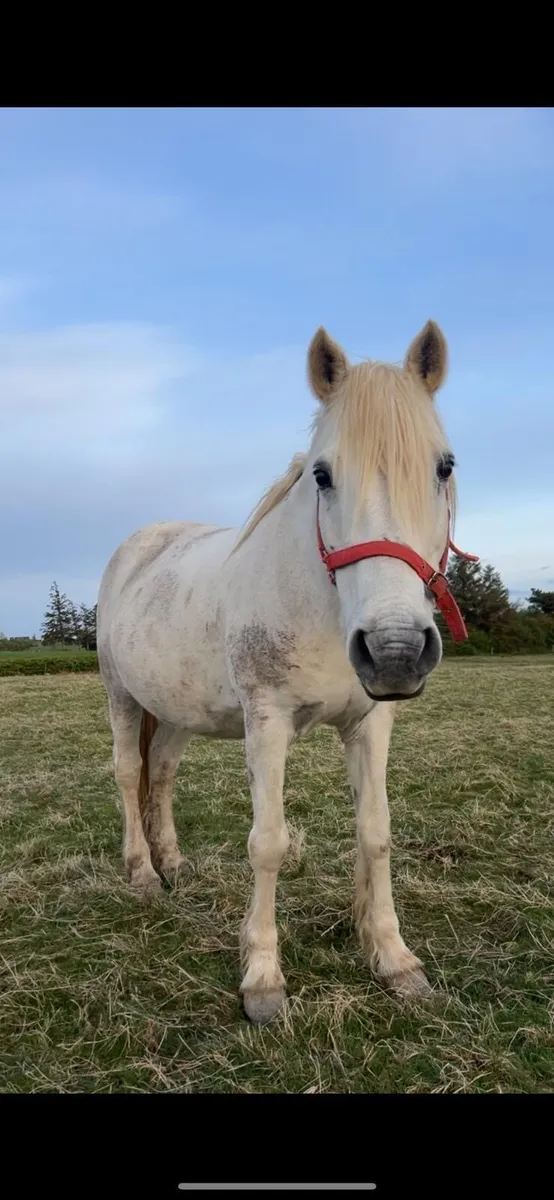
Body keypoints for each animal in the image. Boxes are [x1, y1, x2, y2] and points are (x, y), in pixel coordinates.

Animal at [97, 320, 477, 1024]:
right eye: (323, 475)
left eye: (444, 466)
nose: (394, 648)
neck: (322, 603)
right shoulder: (267, 723)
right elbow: (268, 842)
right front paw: (262, 980)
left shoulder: (371, 722)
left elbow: (375, 832)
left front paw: (394, 960)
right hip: (122, 695)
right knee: (130, 772)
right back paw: (142, 873)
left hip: (179, 712)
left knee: (160, 773)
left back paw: (175, 864)